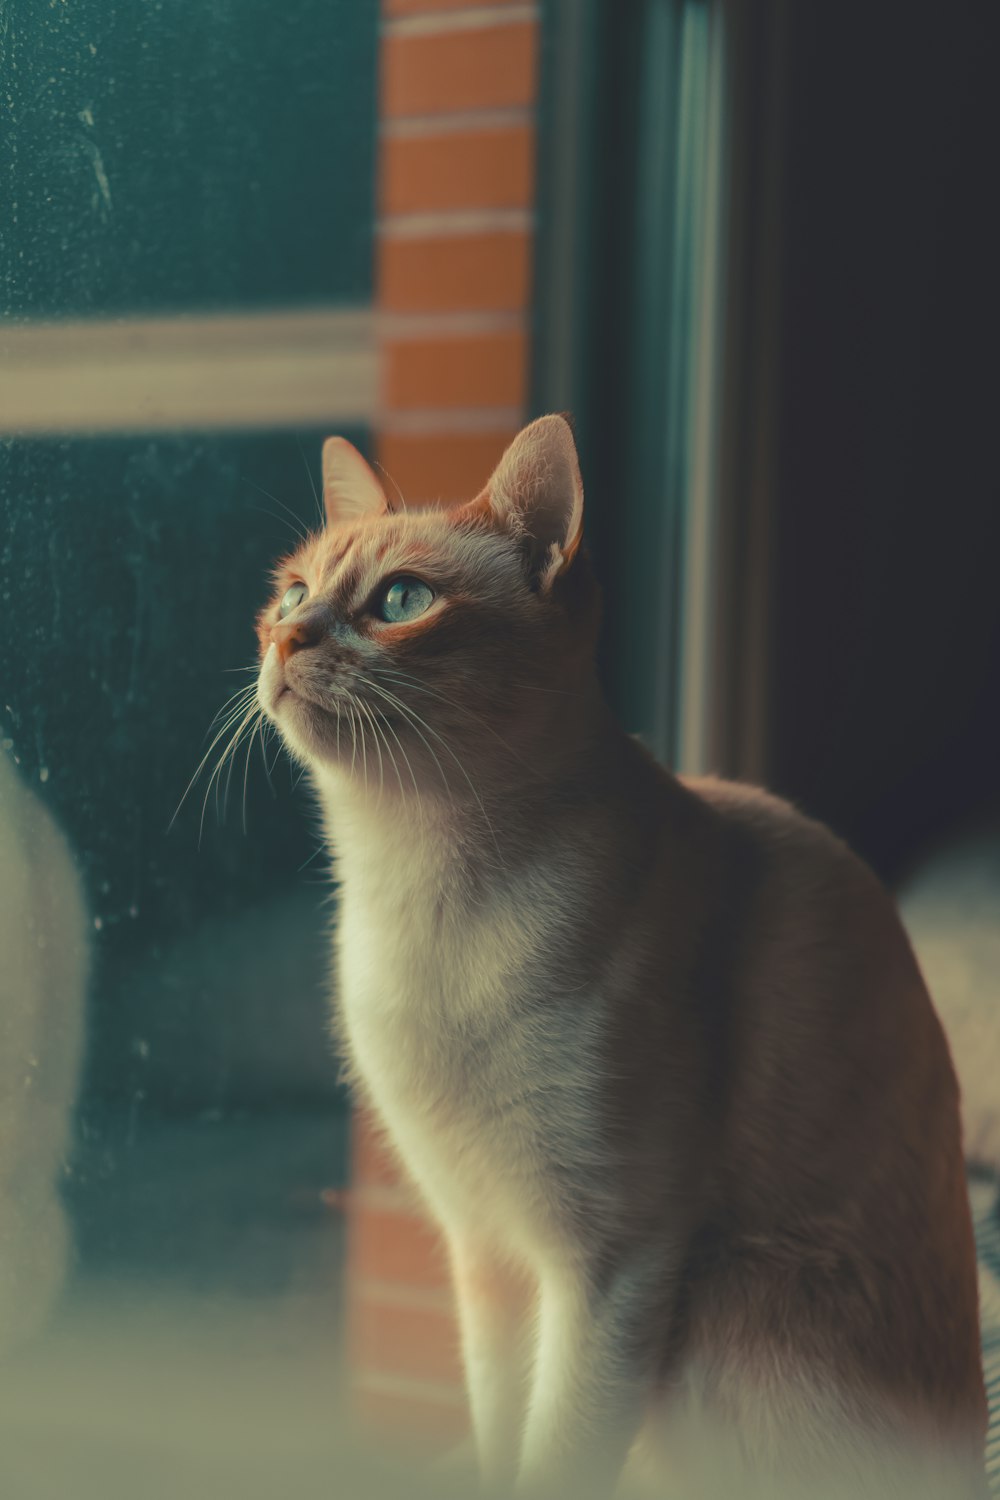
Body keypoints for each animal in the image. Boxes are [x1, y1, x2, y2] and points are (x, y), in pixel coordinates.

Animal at [254, 414, 989, 1500]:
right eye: (294, 592)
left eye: (401, 602)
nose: (286, 637)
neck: (421, 891)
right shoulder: (487, 1251)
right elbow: (498, 1435)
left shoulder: (611, 1262)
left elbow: (555, 1458)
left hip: (732, 1298)